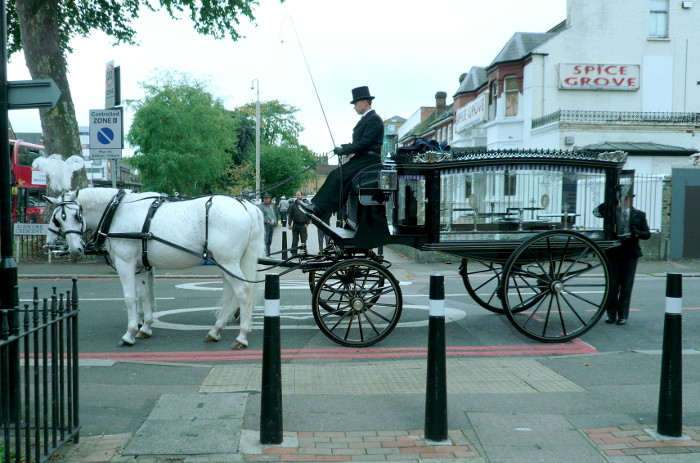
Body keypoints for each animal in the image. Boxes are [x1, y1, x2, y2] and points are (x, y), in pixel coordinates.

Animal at [45, 188, 266, 348]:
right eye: (58, 218)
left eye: (75, 216)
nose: (76, 249)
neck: (117, 212)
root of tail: (245, 205)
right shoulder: (142, 266)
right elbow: (144, 295)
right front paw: (146, 327)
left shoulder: (125, 263)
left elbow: (130, 298)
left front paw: (129, 333)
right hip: (225, 263)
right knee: (231, 292)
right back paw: (216, 330)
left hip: (228, 261)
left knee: (243, 292)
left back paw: (242, 336)